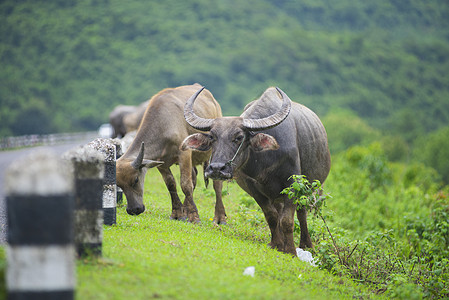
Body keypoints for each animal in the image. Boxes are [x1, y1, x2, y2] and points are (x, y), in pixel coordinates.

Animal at [116, 83, 226, 224]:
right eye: (119, 184)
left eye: (135, 180)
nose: (134, 210)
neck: (163, 124)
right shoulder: (161, 163)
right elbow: (171, 184)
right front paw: (178, 214)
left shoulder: (184, 154)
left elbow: (185, 184)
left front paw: (194, 217)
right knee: (194, 177)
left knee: (216, 183)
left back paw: (220, 218)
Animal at [180, 85, 330, 254]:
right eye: (212, 137)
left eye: (239, 137)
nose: (217, 168)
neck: (266, 161)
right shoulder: (253, 188)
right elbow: (271, 216)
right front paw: (277, 245)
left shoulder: (293, 185)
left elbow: (287, 220)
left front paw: (291, 250)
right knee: (278, 211)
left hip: (307, 188)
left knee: (301, 212)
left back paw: (306, 245)